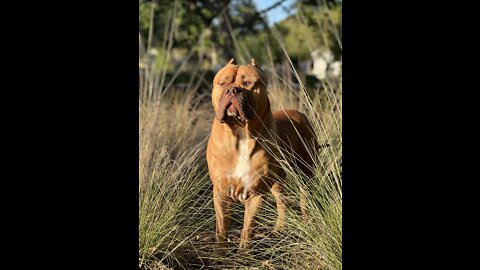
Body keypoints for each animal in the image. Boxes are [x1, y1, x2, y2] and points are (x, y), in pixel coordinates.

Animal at [206, 59, 318, 249]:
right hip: (278, 181)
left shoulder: (254, 194)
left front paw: (244, 253)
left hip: (305, 172)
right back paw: (279, 230)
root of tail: (300, 114)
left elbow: (247, 233)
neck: (239, 133)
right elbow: (221, 232)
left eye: (247, 83)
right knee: (282, 203)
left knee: (304, 197)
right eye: (222, 83)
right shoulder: (221, 194)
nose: (232, 90)